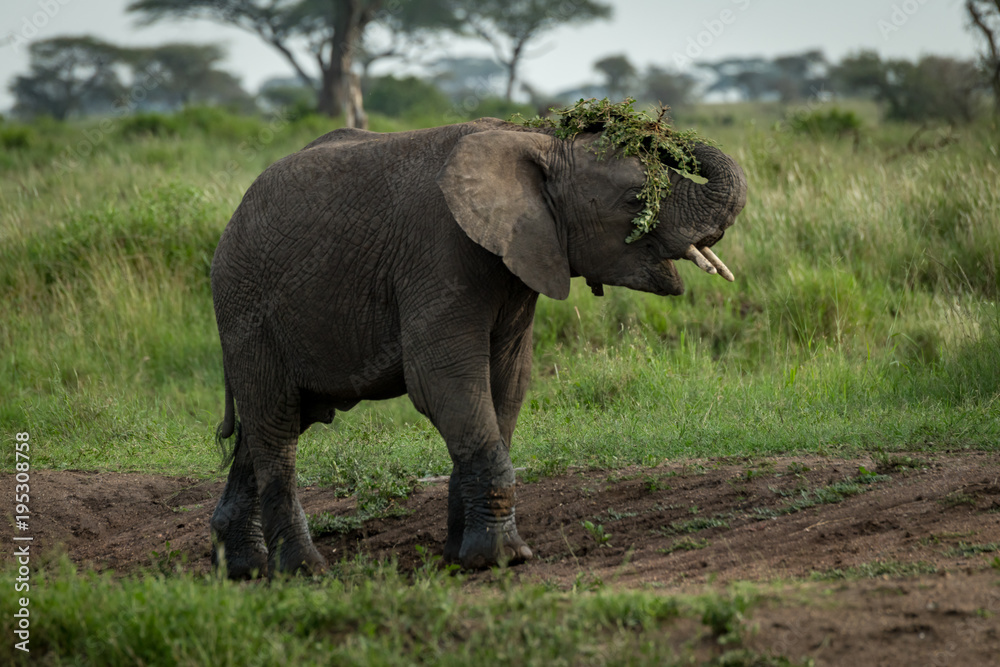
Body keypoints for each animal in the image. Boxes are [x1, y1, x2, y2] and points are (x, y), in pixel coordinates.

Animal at [209, 116, 747, 578]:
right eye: (637, 200)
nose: (612, 117)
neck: (536, 144)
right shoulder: (438, 255)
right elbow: (442, 382)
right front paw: (503, 559)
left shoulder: (520, 262)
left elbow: (505, 386)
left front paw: (460, 558)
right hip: (246, 308)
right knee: (276, 424)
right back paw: (303, 570)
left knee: (271, 424)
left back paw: (244, 568)